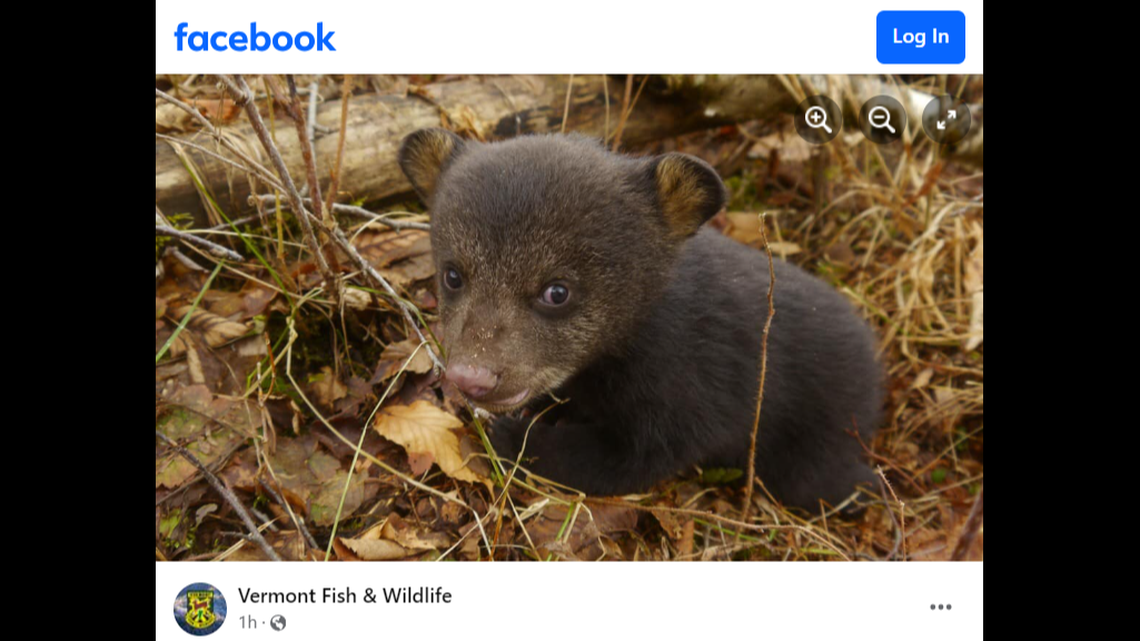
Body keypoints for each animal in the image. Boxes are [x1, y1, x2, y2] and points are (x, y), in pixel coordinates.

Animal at [398, 129, 884, 509]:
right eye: (453, 275)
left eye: (557, 291)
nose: (472, 377)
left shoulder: (690, 381)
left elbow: (635, 457)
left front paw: (515, 438)